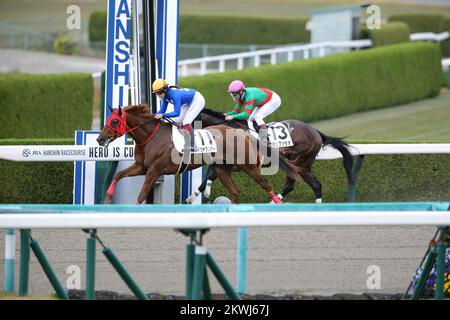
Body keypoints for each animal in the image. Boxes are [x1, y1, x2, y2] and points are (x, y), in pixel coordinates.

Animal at [96, 104, 298, 204]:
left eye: (114, 121)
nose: (99, 139)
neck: (150, 136)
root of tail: (242, 132)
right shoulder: (141, 167)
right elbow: (119, 176)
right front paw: (106, 198)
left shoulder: (154, 170)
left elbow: (141, 195)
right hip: (221, 169)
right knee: (234, 192)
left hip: (248, 166)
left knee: (265, 184)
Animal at [183, 107, 356, 202]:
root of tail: (316, 132)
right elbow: (208, 178)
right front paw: (192, 198)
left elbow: (209, 177)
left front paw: (197, 196)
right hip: (305, 165)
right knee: (315, 185)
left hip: (299, 162)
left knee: (292, 184)